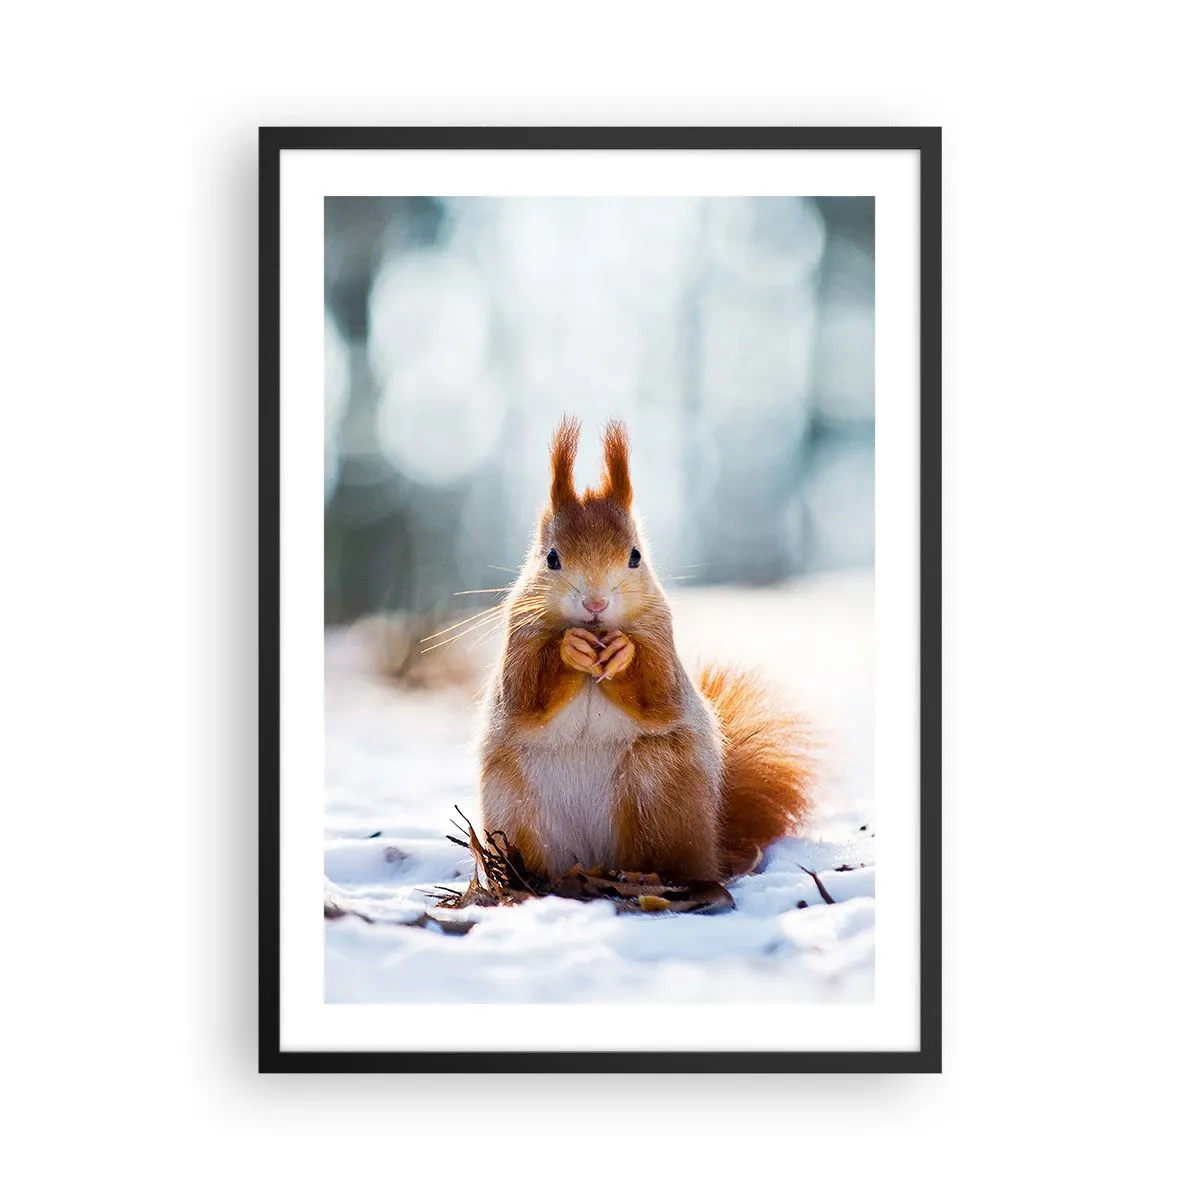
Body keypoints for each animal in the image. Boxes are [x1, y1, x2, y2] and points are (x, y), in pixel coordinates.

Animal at [478, 417, 815, 884]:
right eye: (551, 558)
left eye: (635, 556)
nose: (595, 604)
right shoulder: (519, 639)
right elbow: (526, 692)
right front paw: (570, 648)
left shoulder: (661, 639)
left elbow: (658, 691)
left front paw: (624, 653)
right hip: (515, 804)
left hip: (657, 786)